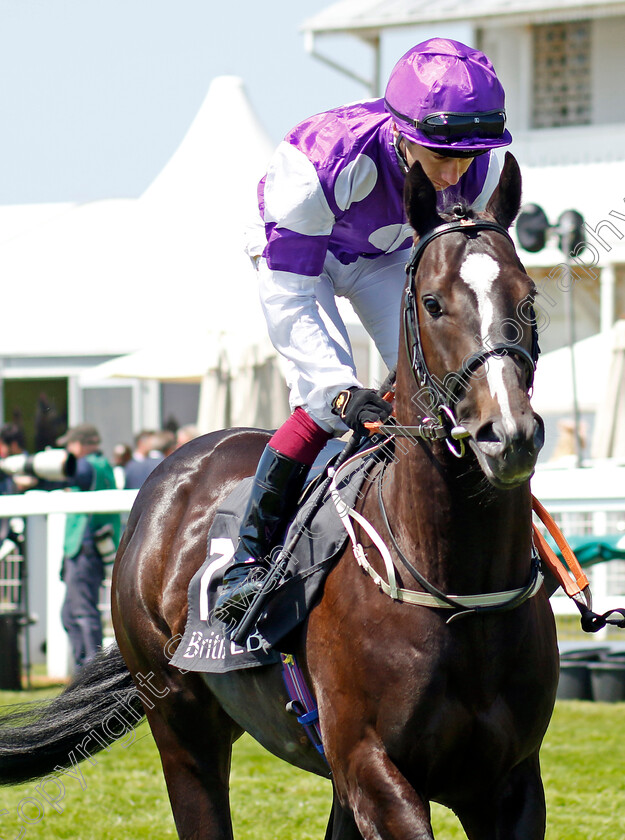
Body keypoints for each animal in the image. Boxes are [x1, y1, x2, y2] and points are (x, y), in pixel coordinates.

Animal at [0, 153, 560, 840]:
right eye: (432, 303)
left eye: (528, 299)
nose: (506, 434)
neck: (456, 588)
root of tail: (173, 469)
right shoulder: (374, 766)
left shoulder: (509, 782)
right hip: (182, 725)